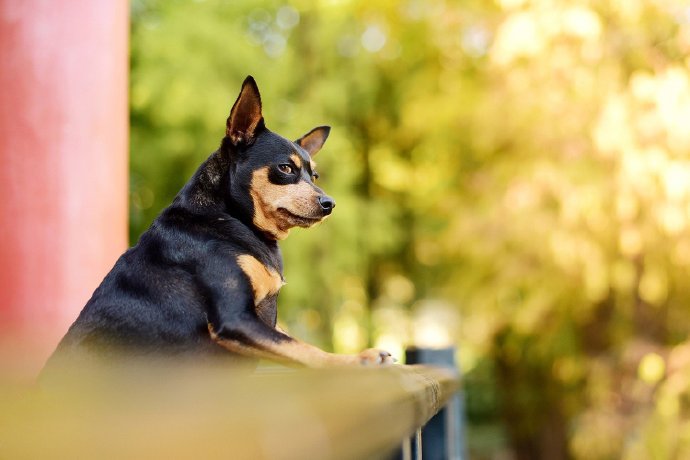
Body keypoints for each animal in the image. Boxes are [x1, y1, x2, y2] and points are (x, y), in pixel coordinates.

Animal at [45, 75, 392, 370]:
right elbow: (302, 348)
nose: (329, 204)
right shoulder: (235, 318)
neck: (232, 219)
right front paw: (354, 361)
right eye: (285, 169)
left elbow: (293, 342)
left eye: (314, 176)